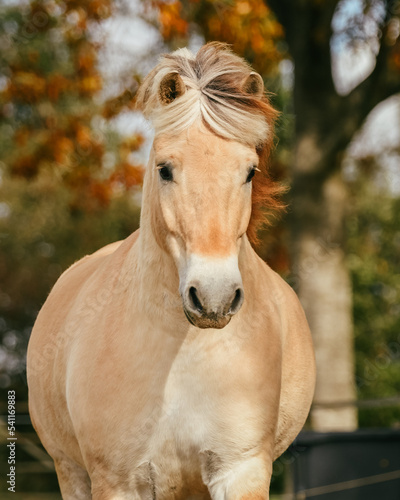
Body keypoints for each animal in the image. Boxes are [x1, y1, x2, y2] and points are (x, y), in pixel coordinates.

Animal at [27, 44, 316, 500]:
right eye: (165, 168)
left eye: (249, 171)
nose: (214, 297)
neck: (183, 354)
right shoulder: (117, 482)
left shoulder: (242, 470)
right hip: (70, 472)